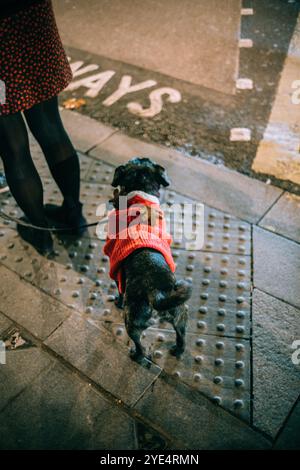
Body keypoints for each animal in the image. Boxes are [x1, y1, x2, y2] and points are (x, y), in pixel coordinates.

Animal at [103, 158, 192, 364]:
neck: (140, 192)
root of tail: (158, 293)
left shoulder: (116, 270)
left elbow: (119, 290)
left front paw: (117, 301)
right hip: (181, 314)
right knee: (181, 336)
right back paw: (177, 350)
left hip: (131, 321)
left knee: (139, 344)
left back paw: (137, 355)